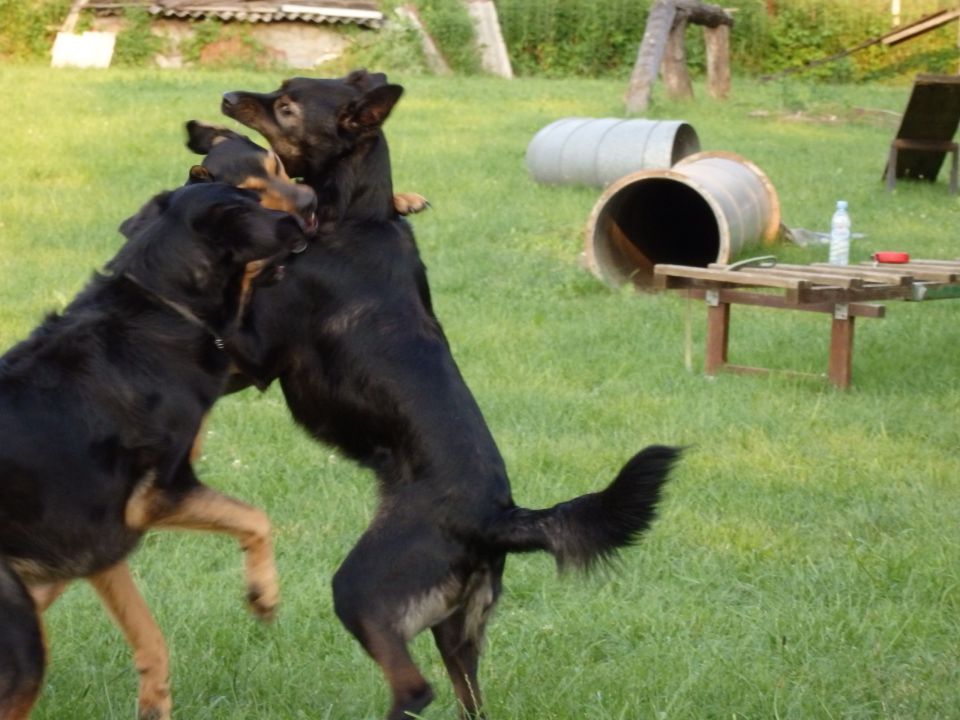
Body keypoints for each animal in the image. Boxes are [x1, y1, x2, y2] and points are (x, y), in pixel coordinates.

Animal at [0, 183, 308, 716]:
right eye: (257, 200)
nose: (309, 212)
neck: (161, 305)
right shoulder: (158, 497)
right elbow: (256, 519)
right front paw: (263, 593)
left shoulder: (100, 545)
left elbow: (150, 640)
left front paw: (153, 703)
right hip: (20, 647)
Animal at [219, 67, 684, 720]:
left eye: (285, 106)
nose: (228, 97)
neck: (354, 219)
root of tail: (498, 517)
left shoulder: (252, 357)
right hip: (456, 633)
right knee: (466, 697)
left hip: (363, 590)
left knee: (413, 688)